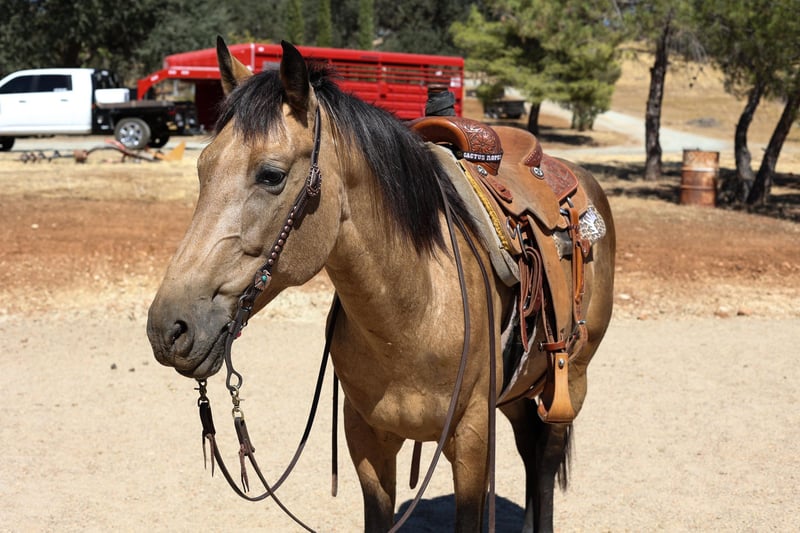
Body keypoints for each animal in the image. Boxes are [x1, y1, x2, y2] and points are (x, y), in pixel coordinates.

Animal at [147, 38, 615, 532]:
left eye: (271, 174)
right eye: (202, 167)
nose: (169, 328)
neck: (414, 313)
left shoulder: (472, 439)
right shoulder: (367, 442)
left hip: (571, 380)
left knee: (543, 459)